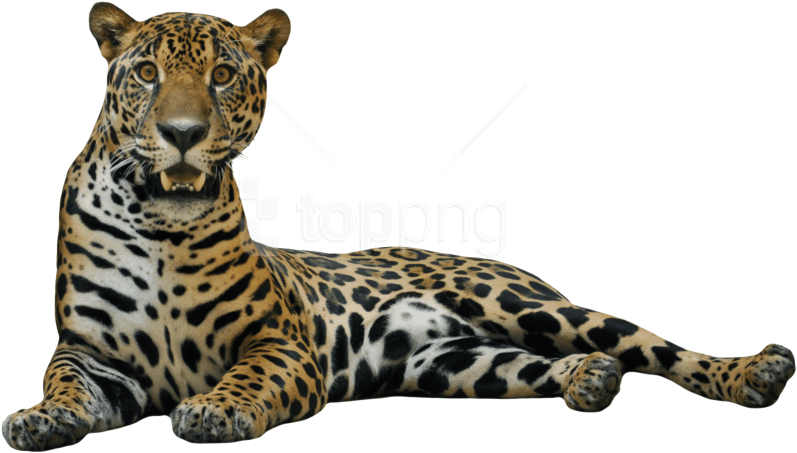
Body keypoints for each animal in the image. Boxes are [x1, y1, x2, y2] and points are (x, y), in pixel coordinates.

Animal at [3, 2, 794, 450]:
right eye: (145, 75)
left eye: (223, 76)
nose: (182, 134)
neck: (160, 218)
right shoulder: (89, 351)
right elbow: (62, 383)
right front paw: (38, 419)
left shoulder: (280, 342)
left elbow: (245, 374)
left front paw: (214, 411)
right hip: (458, 362)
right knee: (546, 362)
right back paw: (590, 379)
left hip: (524, 304)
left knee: (652, 343)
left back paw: (755, 371)